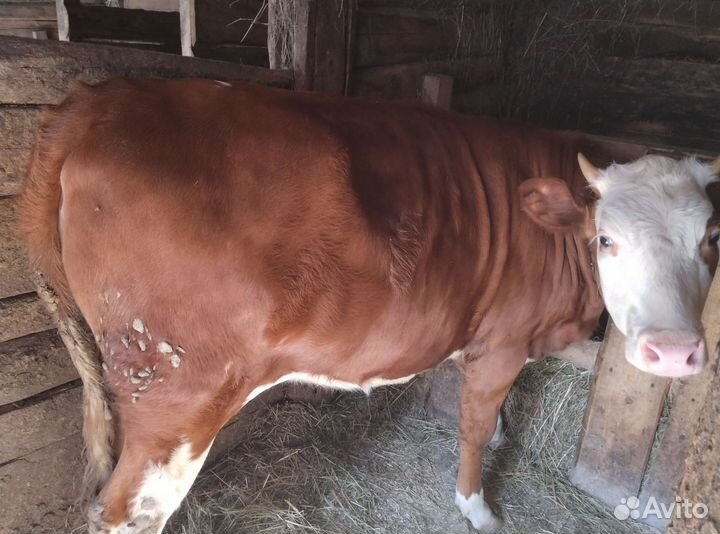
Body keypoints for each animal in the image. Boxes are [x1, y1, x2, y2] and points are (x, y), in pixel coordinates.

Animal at [19, 79, 719, 534]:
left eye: (711, 237)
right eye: (607, 238)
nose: (674, 351)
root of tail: (94, 101)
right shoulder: (503, 342)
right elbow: (470, 430)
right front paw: (478, 508)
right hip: (177, 395)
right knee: (129, 512)